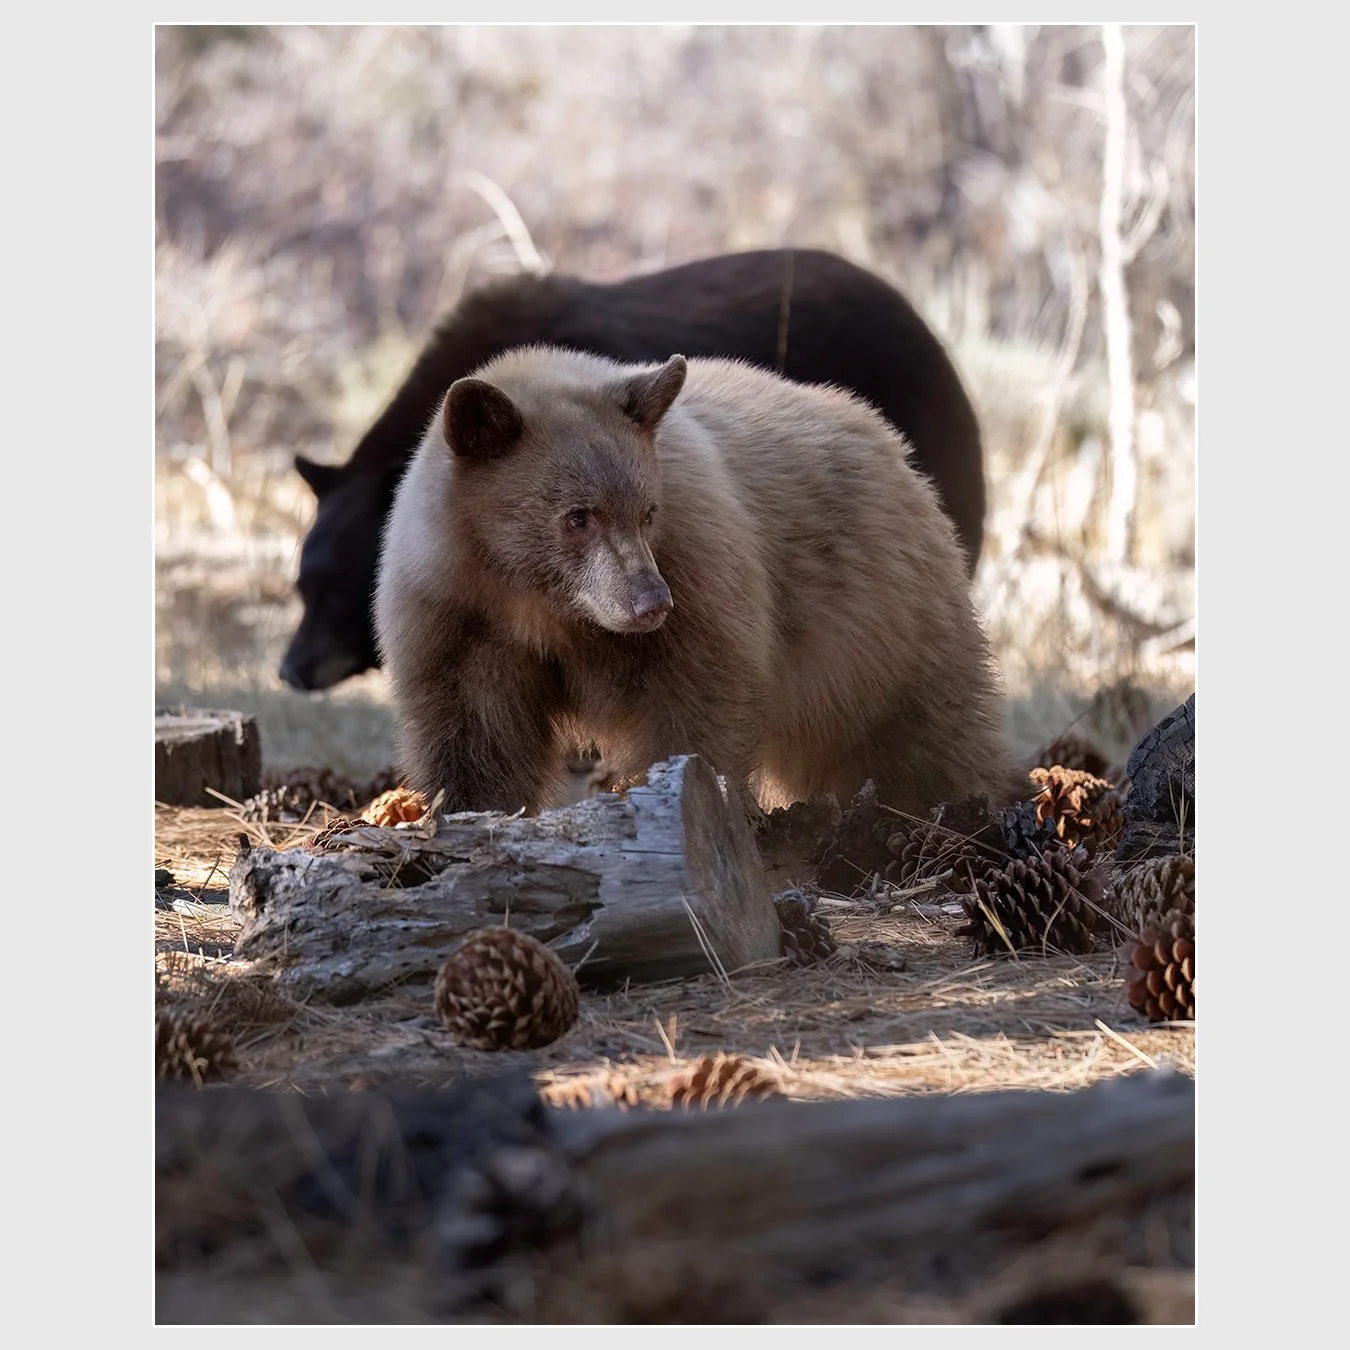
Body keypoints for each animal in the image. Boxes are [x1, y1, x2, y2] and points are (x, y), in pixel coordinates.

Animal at [374, 345, 1011, 820]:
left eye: (648, 511)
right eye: (578, 516)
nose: (651, 603)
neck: (539, 605)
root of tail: (899, 453)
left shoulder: (696, 568)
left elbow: (699, 701)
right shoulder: (459, 620)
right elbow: (475, 736)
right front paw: (470, 811)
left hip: (885, 629)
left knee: (926, 734)